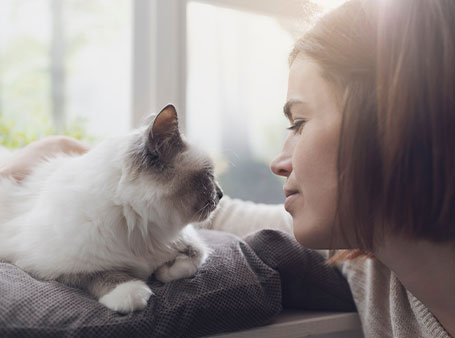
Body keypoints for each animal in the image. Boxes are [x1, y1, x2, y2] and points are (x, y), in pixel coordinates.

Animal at [0, 105, 223, 314]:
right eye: (209, 176)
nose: (220, 194)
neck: (142, 228)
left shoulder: (187, 239)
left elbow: (193, 258)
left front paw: (163, 271)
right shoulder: (50, 265)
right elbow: (100, 274)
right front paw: (131, 294)